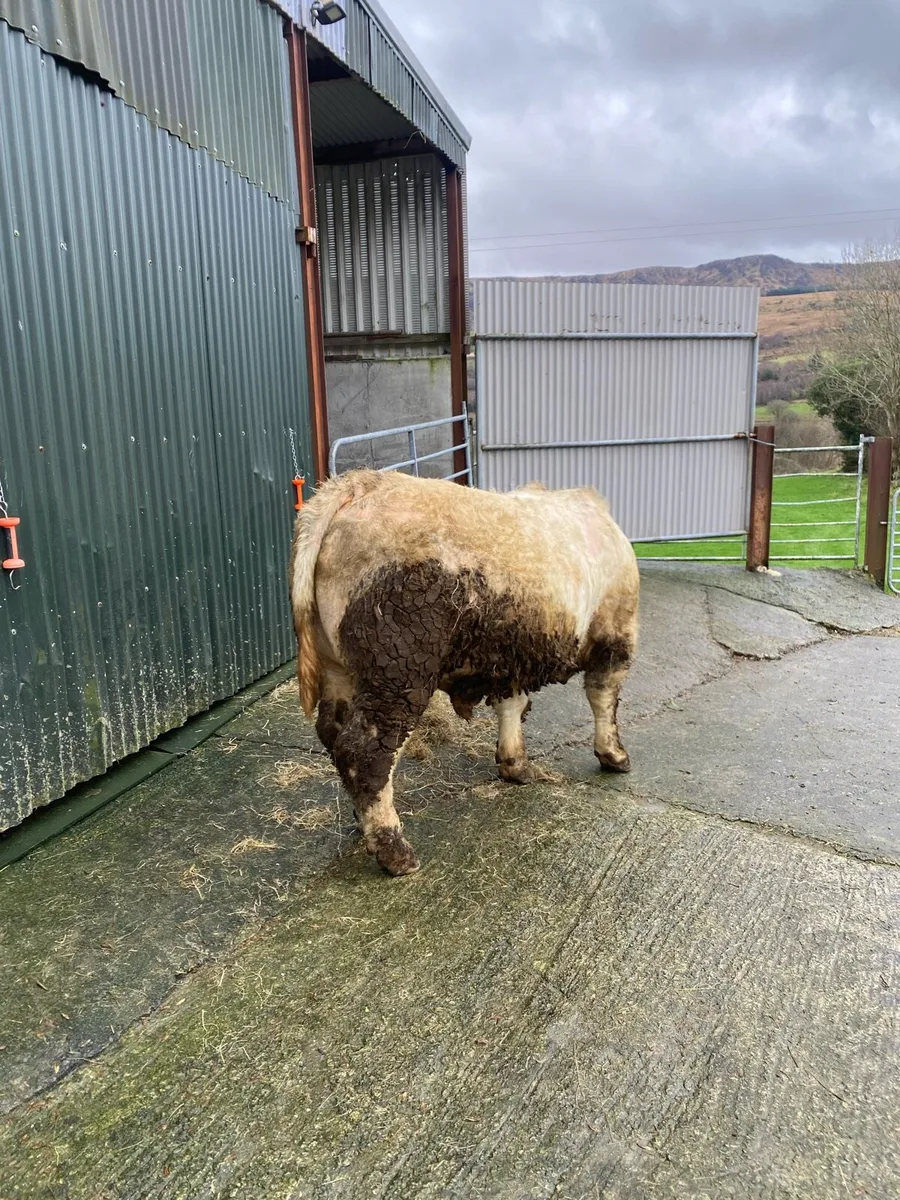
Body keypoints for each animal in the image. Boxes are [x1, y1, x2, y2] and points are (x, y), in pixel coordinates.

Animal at [289, 469, 639, 877]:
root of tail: (360, 483)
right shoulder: (615, 632)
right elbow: (603, 698)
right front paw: (613, 755)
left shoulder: (511, 655)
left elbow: (511, 705)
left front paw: (515, 764)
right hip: (398, 670)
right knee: (365, 750)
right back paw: (394, 850)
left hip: (341, 668)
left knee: (334, 735)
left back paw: (365, 826)